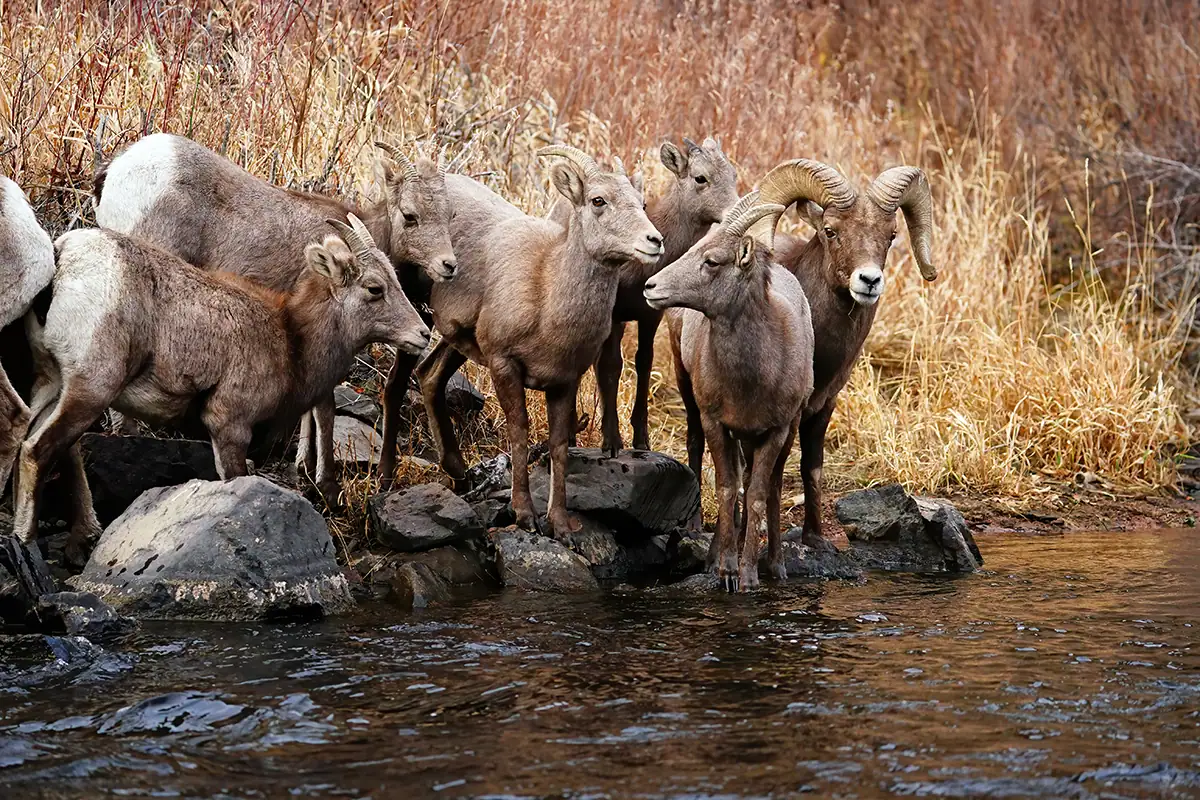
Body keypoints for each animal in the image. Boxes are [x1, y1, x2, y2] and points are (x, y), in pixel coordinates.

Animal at [11, 215, 430, 563]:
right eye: (374, 288)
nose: (423, 335)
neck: (290, 341)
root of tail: (63, 257)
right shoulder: (229, 426)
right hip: (91, 389)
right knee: (37, 451)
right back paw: (25, 541)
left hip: (51, 385)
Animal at [93, 133, 455, 497]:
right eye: (410, 216)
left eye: (448, 215)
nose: (449, 266)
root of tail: (120, 168)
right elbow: (324, 408)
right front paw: (324, 481)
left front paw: (304, 464)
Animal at [417, 145, 664, 538]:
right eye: (598, 200)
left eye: (642, 203)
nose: (654, 242)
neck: (547, 296)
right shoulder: (504, 364)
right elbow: (519, 432)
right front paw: (524, 515)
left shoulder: (565, 380)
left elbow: (559, 445)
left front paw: (560, 525)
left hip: (457, 343)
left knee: (429, 377)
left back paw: (457, 472)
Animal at [644, 191, 814, 592]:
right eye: (696, 248)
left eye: (712, 261)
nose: (651, 287)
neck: (751, 379)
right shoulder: (716, 423)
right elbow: (726, 489)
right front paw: (725, 572)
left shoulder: (776, 430)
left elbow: (757, 495)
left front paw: (750, 577)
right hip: (695, 402)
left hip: (783, 431)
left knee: (769, 488)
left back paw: (777, 566)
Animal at [746, 159, 937, 547]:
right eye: (831, 231)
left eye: (891, 235)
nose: (869, 281)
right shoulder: (790, 413)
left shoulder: (825, 405)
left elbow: (812, 469)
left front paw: (814, 537)